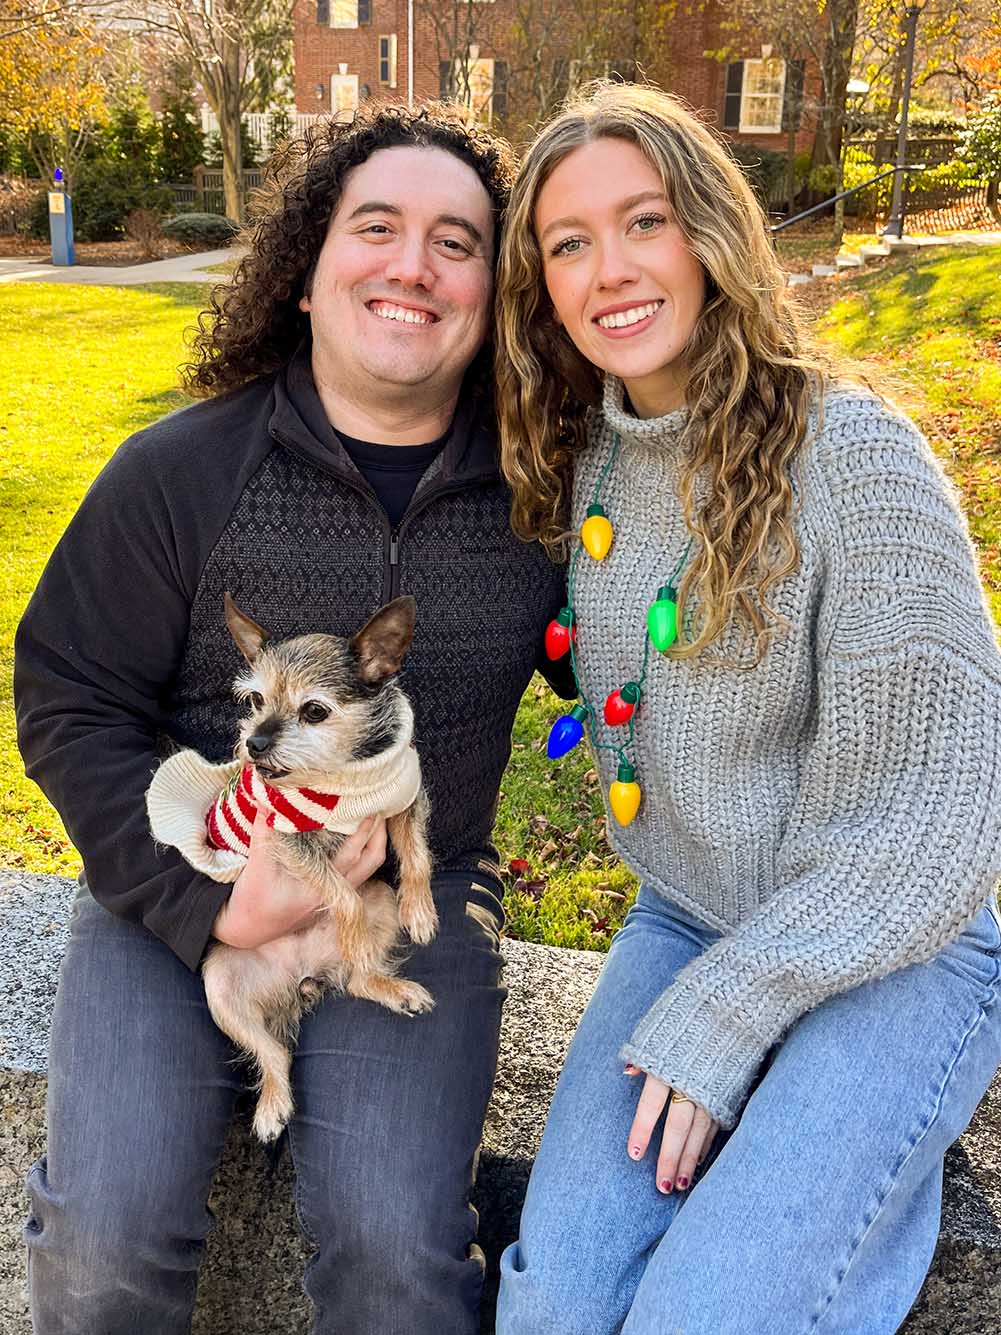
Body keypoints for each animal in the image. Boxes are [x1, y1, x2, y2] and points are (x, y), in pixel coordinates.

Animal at [146, 592, 437, 1137]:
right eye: (256, 701)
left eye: (315, 711)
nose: (254, 745)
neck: (344, 771)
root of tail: (301, 978)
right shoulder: (288, 842)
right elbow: (342, 897)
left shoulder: (403, 797)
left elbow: (417, 855)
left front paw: (421, 910)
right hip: (221, 988)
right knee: (273, 1054)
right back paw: (272, 1106)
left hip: (379, 900)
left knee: (358, 978)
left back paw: (389, 987)